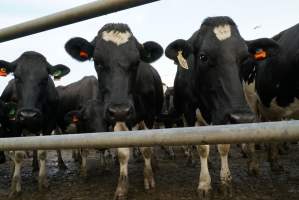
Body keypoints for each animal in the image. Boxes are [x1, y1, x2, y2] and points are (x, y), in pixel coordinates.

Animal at [0, 51, 70, 197]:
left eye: (45, 79)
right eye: (16, 76)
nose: (28, 115)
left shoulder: (49, 124)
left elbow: (42, 151)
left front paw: (43, 182)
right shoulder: (15, 124)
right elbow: (18, 154)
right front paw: (15, 186)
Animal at [65, 23, 164, 198]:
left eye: (136, 62)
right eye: (97, 62)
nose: (120, 110)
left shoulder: (149, 116)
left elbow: (146, 148)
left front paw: (148, 178)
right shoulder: (117, 118)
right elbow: (123, 152)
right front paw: (122, 187)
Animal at [165, 17, 256, 198]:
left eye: (245, 58)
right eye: (203, 57)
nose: (242, 118)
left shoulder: (223, 117)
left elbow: (223, 146)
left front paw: (226, 181)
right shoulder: (191, 111)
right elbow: (202, 148)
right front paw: (204, 184)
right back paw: (190, 159)